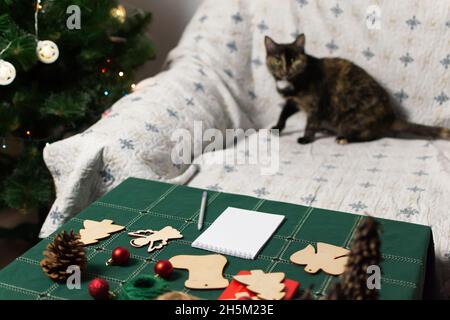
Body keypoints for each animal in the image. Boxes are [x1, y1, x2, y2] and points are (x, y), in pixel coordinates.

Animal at [264, 34, 450, 144]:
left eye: (294, 60)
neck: (292, 83)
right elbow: (284, 114)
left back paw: (343, 138)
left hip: (351, 118)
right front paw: (277, 127)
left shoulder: (315, 104)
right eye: (277, 60)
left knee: (370, 135)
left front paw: (306, 138)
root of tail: (389, 116)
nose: (286, 70)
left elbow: (311, 122)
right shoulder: (292, 101)